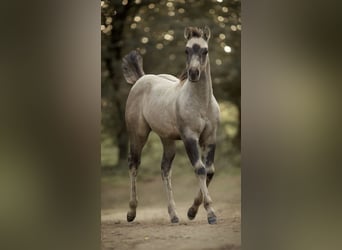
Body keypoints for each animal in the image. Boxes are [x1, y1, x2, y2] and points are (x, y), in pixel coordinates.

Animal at [121, 26, 220, 224]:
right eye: (186, 50)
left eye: (205, 50)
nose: (193, 73)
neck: (201, 103)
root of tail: (141, 79)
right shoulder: (190, 137)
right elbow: (200, 169)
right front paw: (210, 213)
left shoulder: (210, 138)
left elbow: (209, 171)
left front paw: (192, 211)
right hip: (138, 134)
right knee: (134, 164)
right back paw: (131, 212)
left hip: (167, 139)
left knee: (165, 170)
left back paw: (174, 215)